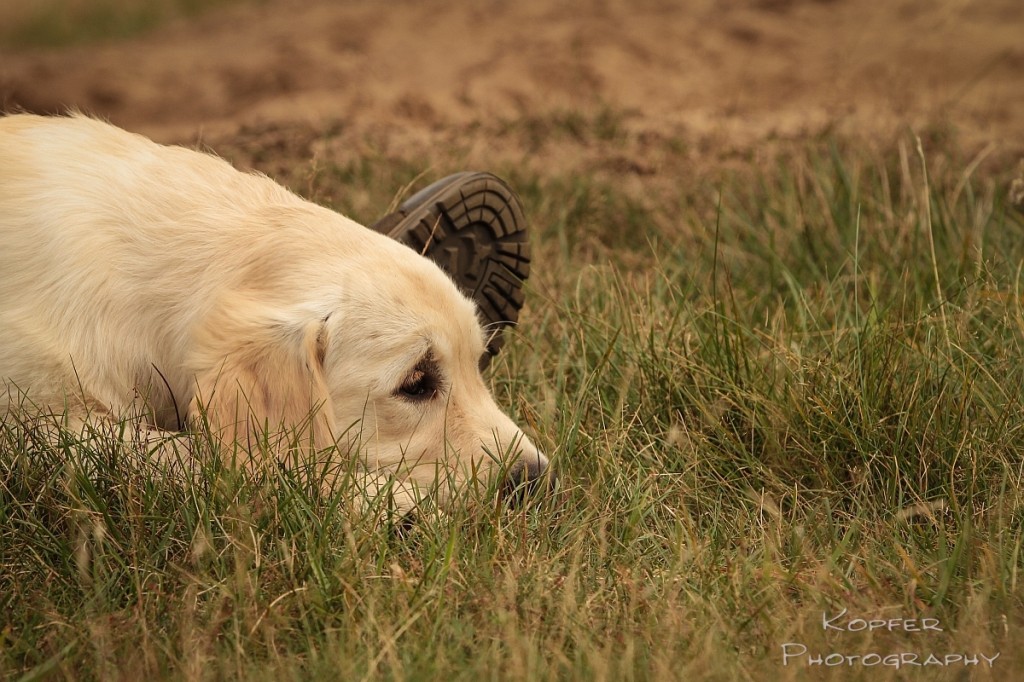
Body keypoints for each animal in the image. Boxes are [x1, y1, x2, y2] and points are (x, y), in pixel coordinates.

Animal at [0, 112, 552, 503]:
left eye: (480, 363)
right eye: (415, 382)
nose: (537, 483)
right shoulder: (29, 421)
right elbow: (171, 451)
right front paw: (387, 502)